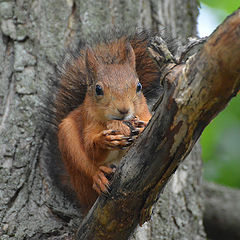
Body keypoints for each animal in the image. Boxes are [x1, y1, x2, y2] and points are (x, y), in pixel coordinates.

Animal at [45, 30, 161, 214]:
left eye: (139, 86)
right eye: (98, 89)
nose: (124, 110)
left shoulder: (146, 114)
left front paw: (141, 127)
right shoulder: (88, 122)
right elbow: (90, 147)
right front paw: (105, 139)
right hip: (67, 139)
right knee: (85, 165)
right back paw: (99, 177)